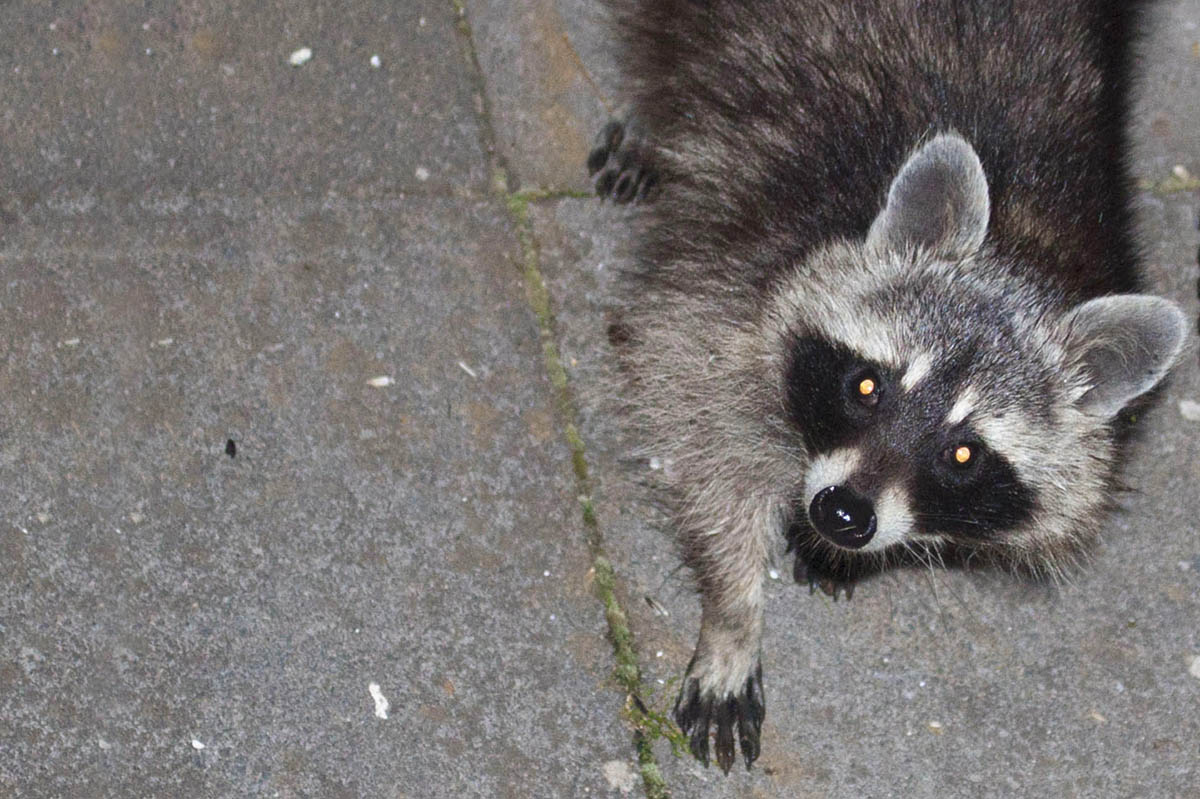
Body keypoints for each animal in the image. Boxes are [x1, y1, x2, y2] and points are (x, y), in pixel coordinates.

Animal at [585, 0, 1185, 772]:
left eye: (963, 453)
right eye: (868, 387)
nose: (843, 514)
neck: (1020, 248)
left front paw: (845, 553)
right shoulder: (724, 286)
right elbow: (702, 446)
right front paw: (734, 613)